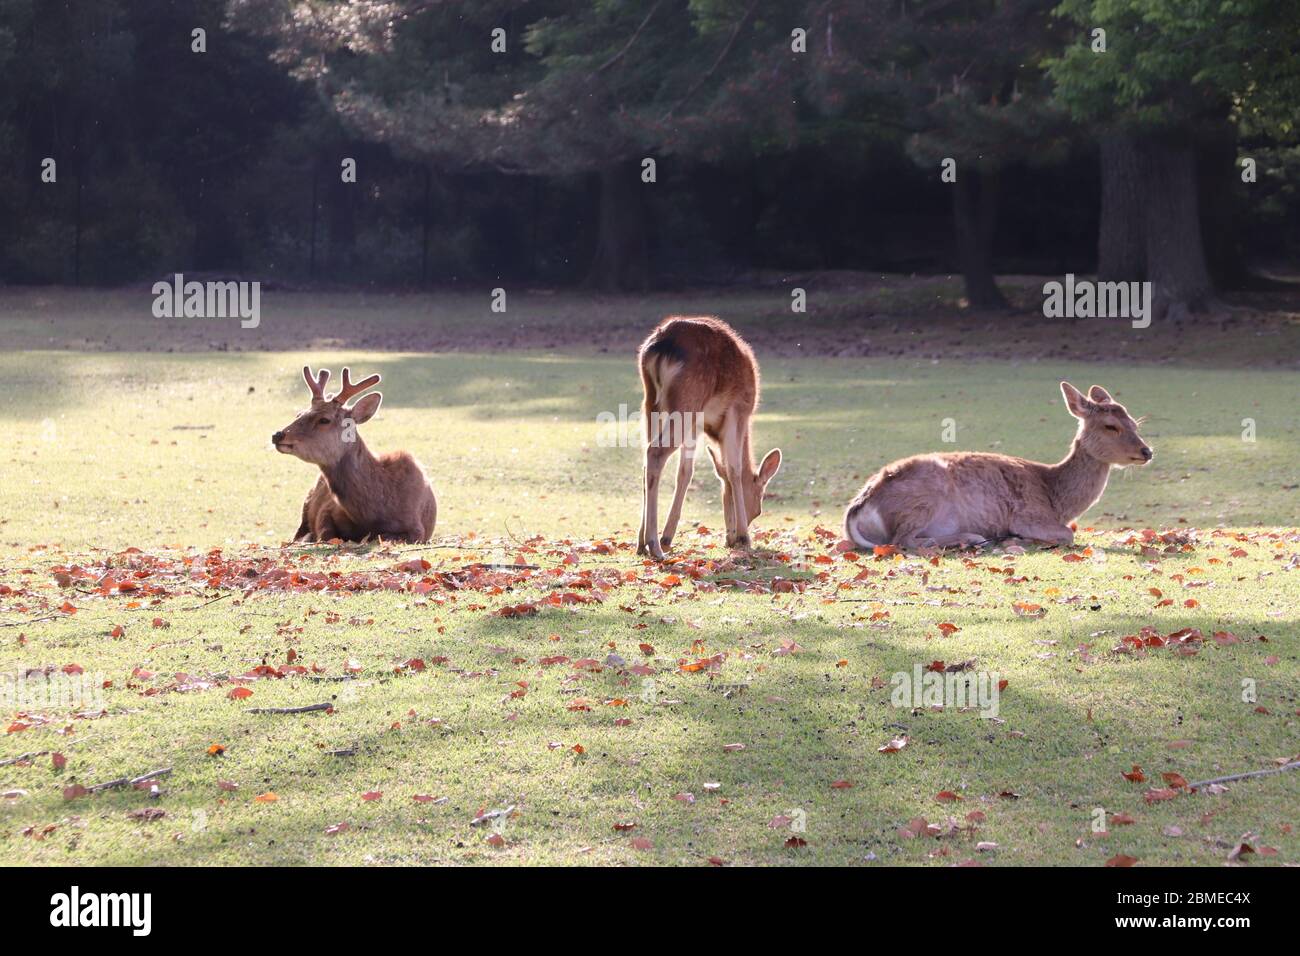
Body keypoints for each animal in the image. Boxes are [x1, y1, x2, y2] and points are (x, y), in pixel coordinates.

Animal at [272, 366, 437, 544]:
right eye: (299, 414)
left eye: (324, 419)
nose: (277, 435)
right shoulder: (326, 511)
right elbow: (326, 535)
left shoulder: (417, 528)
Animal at [637, 316, 782, 561]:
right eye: (759, 508)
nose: (730, 540)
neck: (714, 431)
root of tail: (662, 344)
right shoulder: (738, 411)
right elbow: (734, 469)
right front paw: (744, 537)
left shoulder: (697, 425)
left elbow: (686, 472)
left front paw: (668, 536)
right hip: (687, 400)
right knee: (655, 453)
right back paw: (654, 546)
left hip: (651, 402)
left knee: (646, 456)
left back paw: (641, 543)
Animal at [843, 383, 1152, 551]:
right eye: (1110, 426)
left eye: (1134, 423)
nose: (1146, 451)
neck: (1055, 498)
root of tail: (857, 509)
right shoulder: (1028, 514)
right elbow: (1068, 534)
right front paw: (1018, 540)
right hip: (922, 498)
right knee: (902, 540)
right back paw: (972, 538)